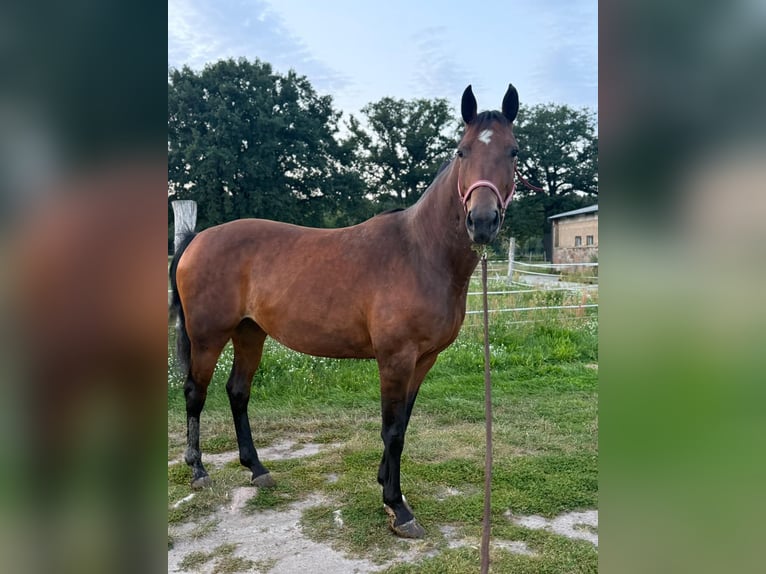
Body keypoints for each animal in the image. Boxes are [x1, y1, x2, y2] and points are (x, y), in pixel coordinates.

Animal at [169, 84, 520, 538]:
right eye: (461, 151)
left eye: (513, 151)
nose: (482, 220)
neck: (421, 252)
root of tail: (196, 238)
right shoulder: (396, 359)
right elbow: (392, 429)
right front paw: (397, 507)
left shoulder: (424, 359)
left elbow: (403, 424)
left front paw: (387, 485)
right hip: (207, 336)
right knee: (195, 392)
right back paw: (198, 471)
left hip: (250, 333)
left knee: (238, 391)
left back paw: (257, 469)